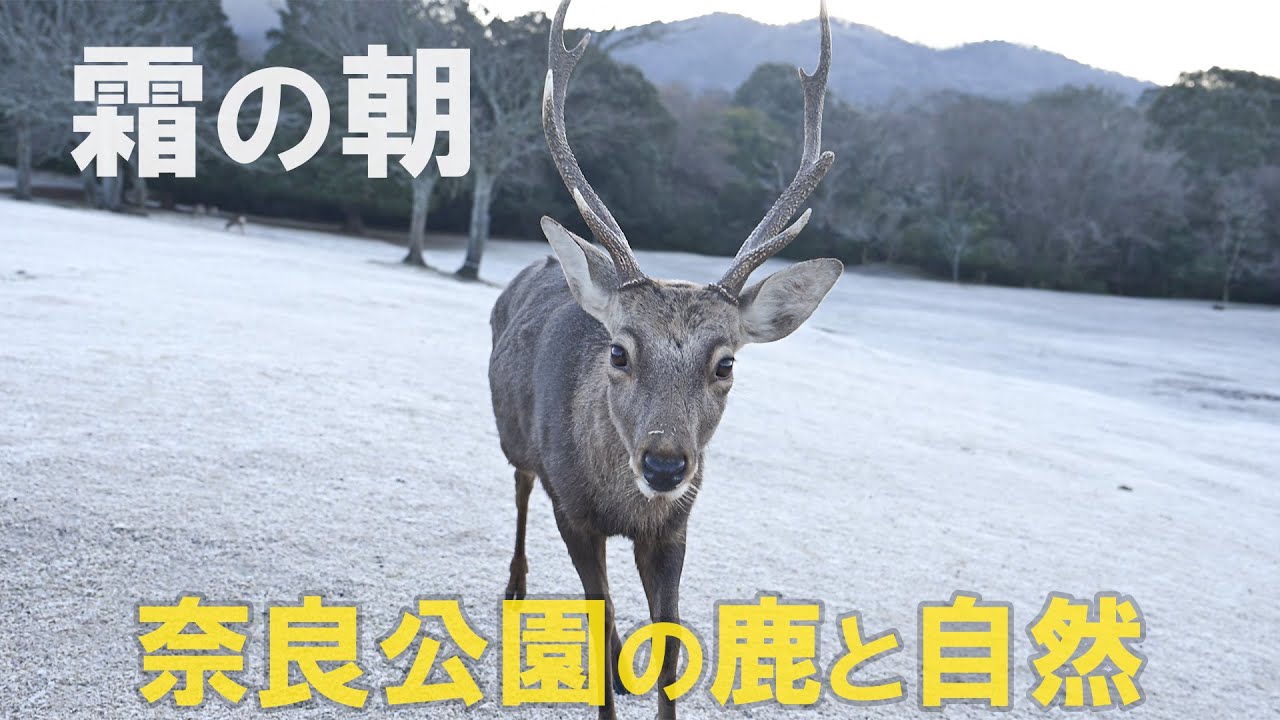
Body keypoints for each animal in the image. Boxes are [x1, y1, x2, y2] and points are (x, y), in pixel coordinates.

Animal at [487, 1, 838, 717]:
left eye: (726, 363)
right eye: (619, 350)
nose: (665, 463)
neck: (626, 508)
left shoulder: (676, 526)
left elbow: (670, 651)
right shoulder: (574, 512)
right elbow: (599, 628)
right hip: (517, 446)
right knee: (520, 490)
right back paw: (516, 586)